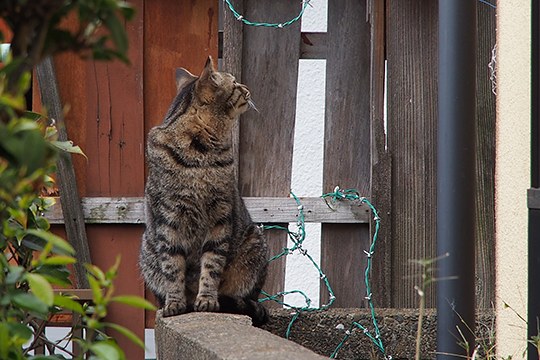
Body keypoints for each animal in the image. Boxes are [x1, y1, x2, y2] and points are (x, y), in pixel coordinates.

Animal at [137, 56, 268, 326]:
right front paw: (175, 303)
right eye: (235, 84)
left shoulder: (220, 215)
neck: (201, 153)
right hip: (147, 251)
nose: (247, 88)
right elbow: (172, 265)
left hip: (255, 244)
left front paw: (207, 300)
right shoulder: (169, 217)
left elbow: (212, 263)